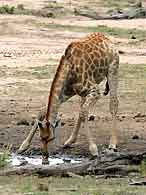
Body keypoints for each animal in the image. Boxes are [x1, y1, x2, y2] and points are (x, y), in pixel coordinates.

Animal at [17, 32, 119, 164]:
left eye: (51, 138)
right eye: (41, 138)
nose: (45, 158)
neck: (69, 67)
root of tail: (107, 39)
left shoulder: (95, 91)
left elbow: (84, 112)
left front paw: (93, 149)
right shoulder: (65, 93)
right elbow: (42, 110)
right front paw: (23, 146)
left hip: (113, 69)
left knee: (113, 104)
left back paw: (112, 144)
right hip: (85, 90)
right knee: (81, 108)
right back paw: (69, 141)